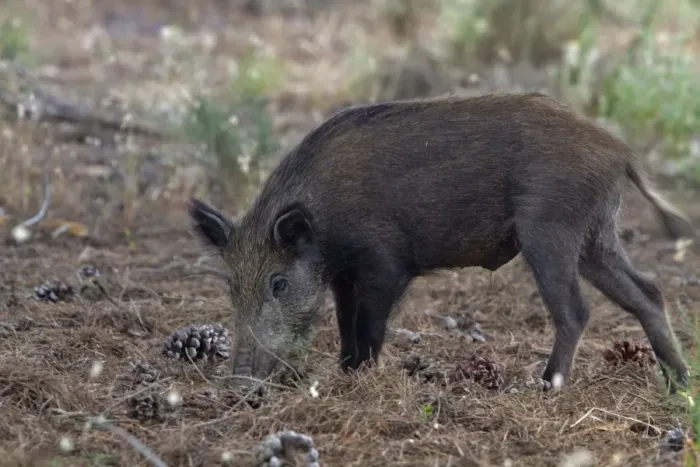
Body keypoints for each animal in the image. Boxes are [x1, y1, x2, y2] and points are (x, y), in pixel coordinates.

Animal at [188, 91, 694, 392]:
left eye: (278, 283)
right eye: (230, 285)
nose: (239, 385)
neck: (324, 224)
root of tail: (621, 154)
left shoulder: (384, 264)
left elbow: (369, 326)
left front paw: (362, 377)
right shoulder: (344, 277)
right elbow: (346, 325)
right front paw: (345, 372)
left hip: (551, 231)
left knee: (575, 310)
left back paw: (546, 384)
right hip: (596, 239)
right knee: (648, 293)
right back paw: (680, 383)